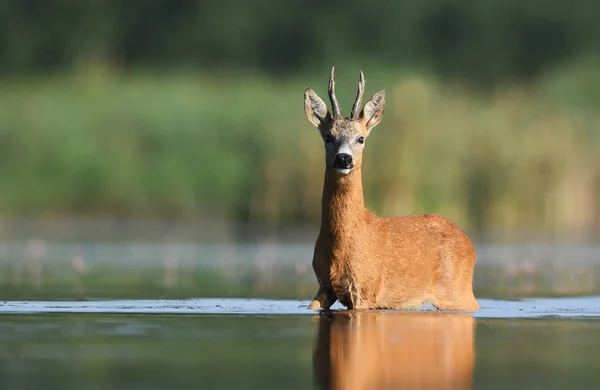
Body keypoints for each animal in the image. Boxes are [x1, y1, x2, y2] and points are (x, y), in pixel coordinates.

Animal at [304, 66, 478, 310]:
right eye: (328, 137)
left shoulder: (365, 289)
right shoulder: (324, 286)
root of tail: (469, 245)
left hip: (458, 292)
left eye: (361, 138)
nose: (344, 158)